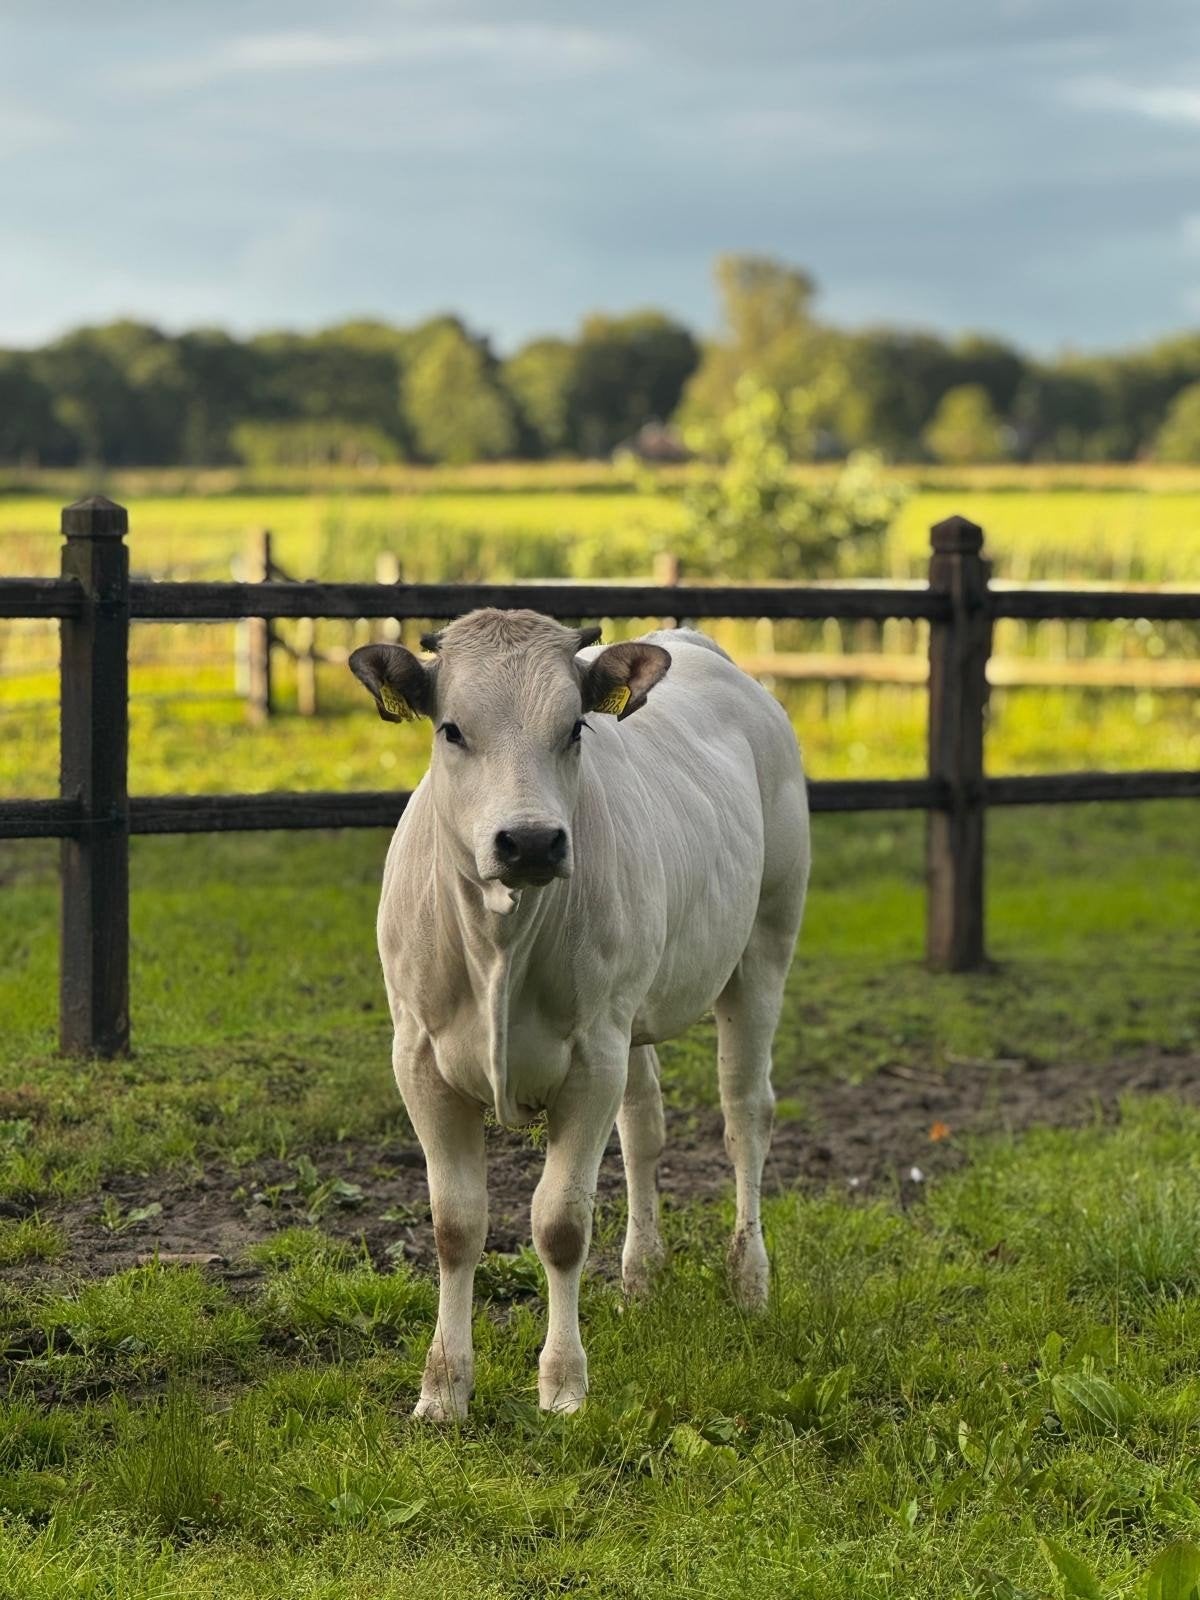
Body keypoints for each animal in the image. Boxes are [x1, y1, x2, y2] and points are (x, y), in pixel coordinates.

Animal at [349, 609, 809, 1419]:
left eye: (573, 729)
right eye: (451, 729)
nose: (530, 840)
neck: (500, 943)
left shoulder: (591, 1057)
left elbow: (560, 1223)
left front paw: (563, 1385)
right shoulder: (419, 1058)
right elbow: (454, 1224)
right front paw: (443, 1390)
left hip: (765, 944)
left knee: (745, 1114)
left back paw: (749, 1281)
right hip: (635, 1013)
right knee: (645, 1126)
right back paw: (642, 1278)